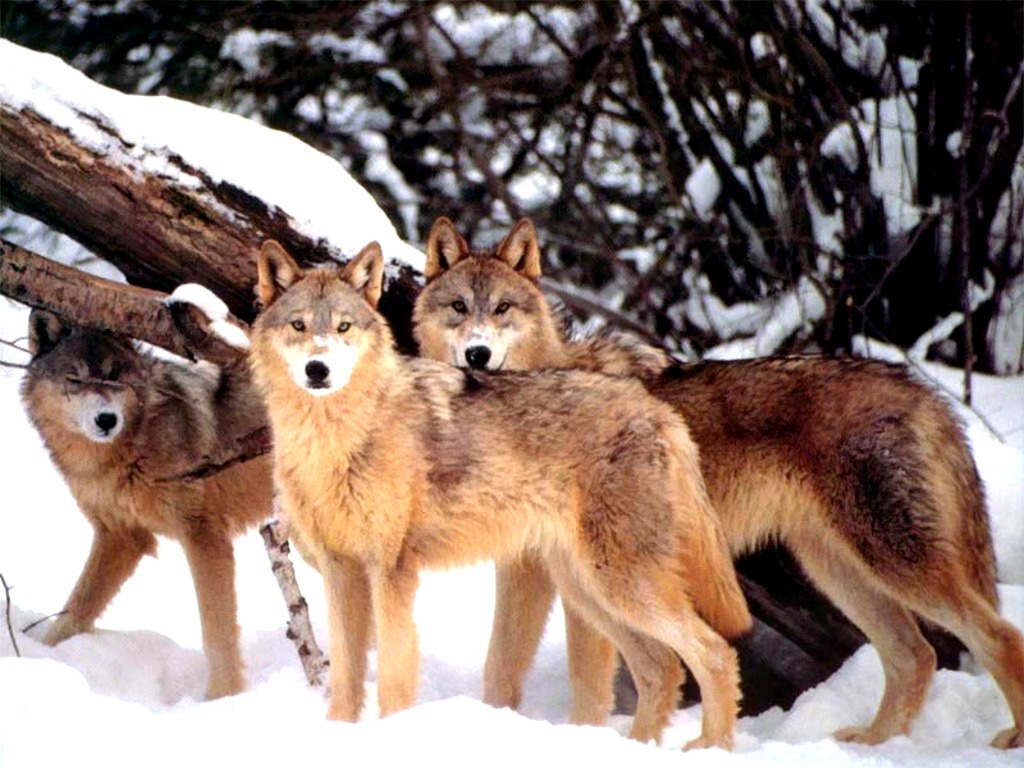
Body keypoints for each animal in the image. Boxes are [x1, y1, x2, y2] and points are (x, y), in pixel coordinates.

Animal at [20, 309, 273, 699]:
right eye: (75, 379)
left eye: (114, 375)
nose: (106, 419)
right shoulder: (120, 537)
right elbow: (74, 611)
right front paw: (44, 657)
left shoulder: (204, 537)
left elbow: (216, 631)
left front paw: (222, 697)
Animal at [249, 238, 752, 749]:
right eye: (299, 325)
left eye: (343, 327)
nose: (318, 368)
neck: (336, 441)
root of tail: (656, 409)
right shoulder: (340, 572)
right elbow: (345, 682)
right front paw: (339, 736)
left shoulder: (391, 573)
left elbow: (392, 677)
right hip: (588, 590)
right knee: (661, 667)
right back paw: (636, 747)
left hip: (621, 584)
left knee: (714, 652)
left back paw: (711, 747)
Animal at [412, 216, 1024, 749]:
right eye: (459, 307)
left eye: (503, 308)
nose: (477, 354)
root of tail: (920, 389)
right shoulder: (529, 571)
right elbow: (500, 668)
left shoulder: (568, 587)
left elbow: (588, 682)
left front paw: (583, 737)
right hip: (837, 571)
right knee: (915, 656)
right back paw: (875, 743)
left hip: (893, 564)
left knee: (997, 636)